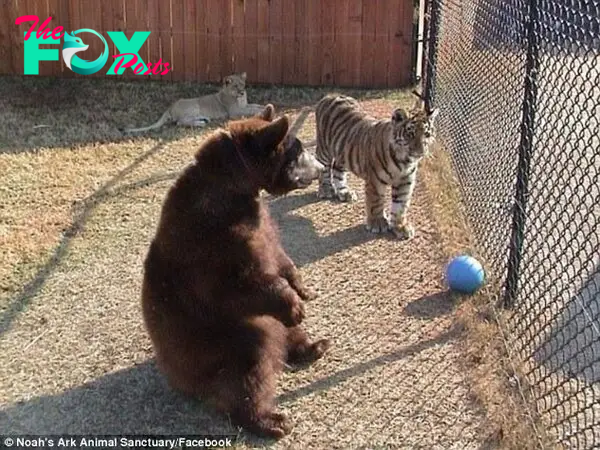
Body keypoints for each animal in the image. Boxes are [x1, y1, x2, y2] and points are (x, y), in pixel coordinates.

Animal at [123, 72, 266, 134]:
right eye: (235, 86)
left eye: (242, 84)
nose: (242, 91)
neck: (239, 97)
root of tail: (171, 107)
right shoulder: (235, 112)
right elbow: (252, 110)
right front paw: (263, 110)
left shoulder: (245, 105)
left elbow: (255, 106)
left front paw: (264, 106)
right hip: (195, 105)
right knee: (180, 122)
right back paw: (200, 123)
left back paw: (203, 119)